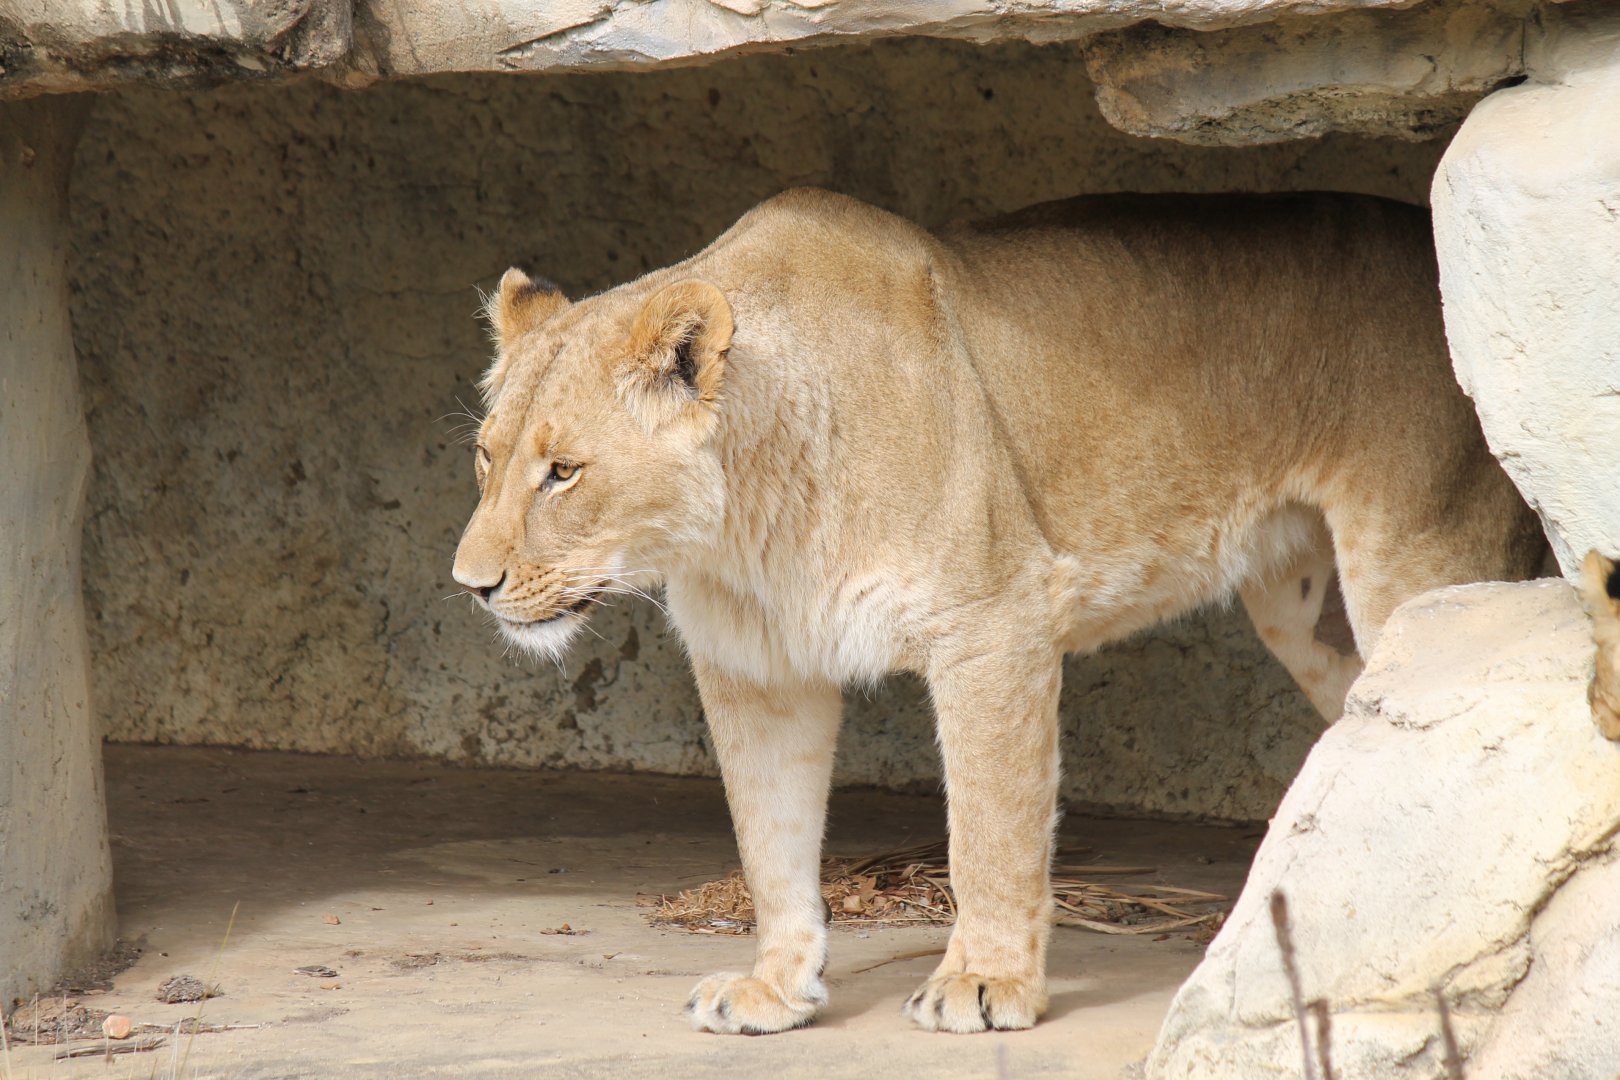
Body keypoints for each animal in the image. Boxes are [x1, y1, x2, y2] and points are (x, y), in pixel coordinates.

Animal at [452, 189, 1544, 1035]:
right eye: (486, 457)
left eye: (564, 472)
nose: (471, 586)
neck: (746, 525)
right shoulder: (756, 670)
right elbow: (770, 838)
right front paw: (776, 988)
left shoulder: (992, 623)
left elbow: (989, 825)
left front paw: (983, 983)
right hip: (1302, 615)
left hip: (1411, 556)